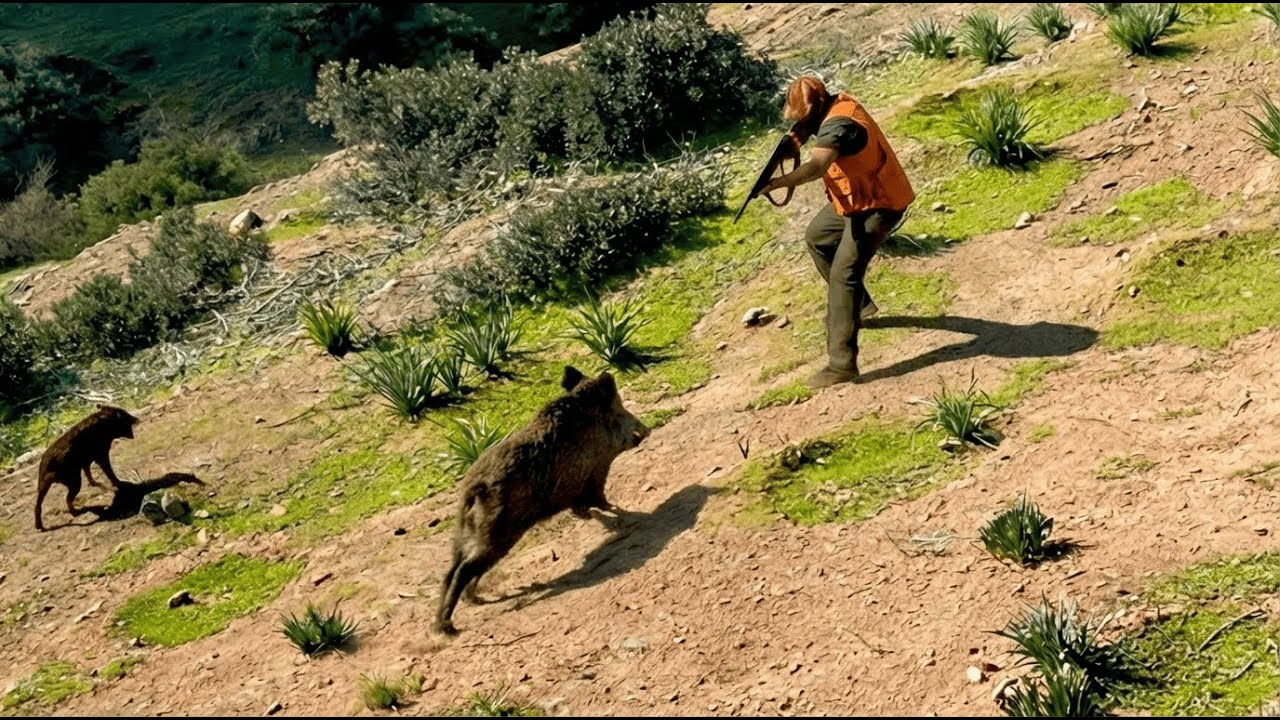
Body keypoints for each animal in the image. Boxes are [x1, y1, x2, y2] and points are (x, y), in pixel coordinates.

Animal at [433, 365, 650, 635]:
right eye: (618, 410)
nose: (647, 430)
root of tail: (473, 488)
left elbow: (589, 509)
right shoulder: (594, 474)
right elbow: (601, 501)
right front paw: (630, 517)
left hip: (465, 535)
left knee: (451, 571)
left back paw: (473, 601)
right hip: (497, 535)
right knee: (462, 570)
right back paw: (448, 627)